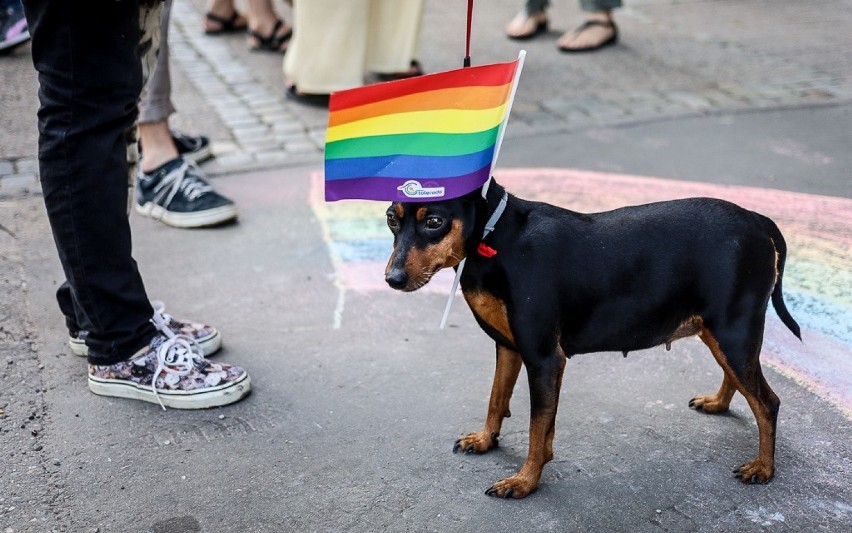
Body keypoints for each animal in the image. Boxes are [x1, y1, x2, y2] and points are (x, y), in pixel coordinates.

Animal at [384, 180, 800, 498]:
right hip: (721, 332)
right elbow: (497, 399)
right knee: (741, 381)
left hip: (732, 329)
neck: (496, 237)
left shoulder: (544, 358)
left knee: (768, 403)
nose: (391, 279)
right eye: (391, 218)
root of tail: (756, 219)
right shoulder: (509, 347)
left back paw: (764, 468)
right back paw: (718, 404)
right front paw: (486, 440)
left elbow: (538, 427)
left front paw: (525, 481)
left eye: (434, 221)